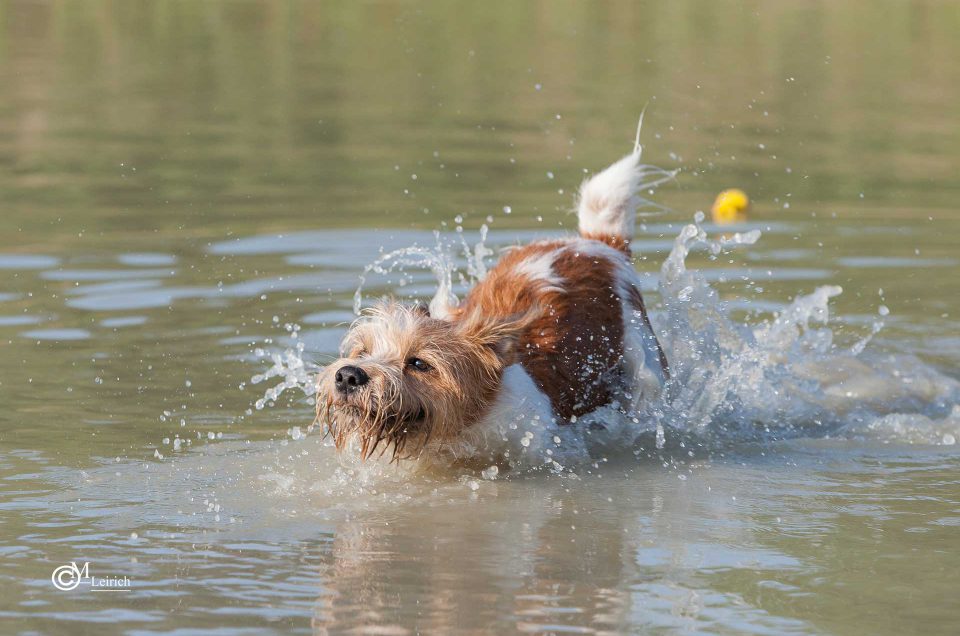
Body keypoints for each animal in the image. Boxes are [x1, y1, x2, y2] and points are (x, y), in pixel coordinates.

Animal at [316, 145, 668, 462]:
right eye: (363, 352)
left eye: (419, 363)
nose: (348, 375)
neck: (464, 430)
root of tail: (597, 244)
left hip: (644, 367)